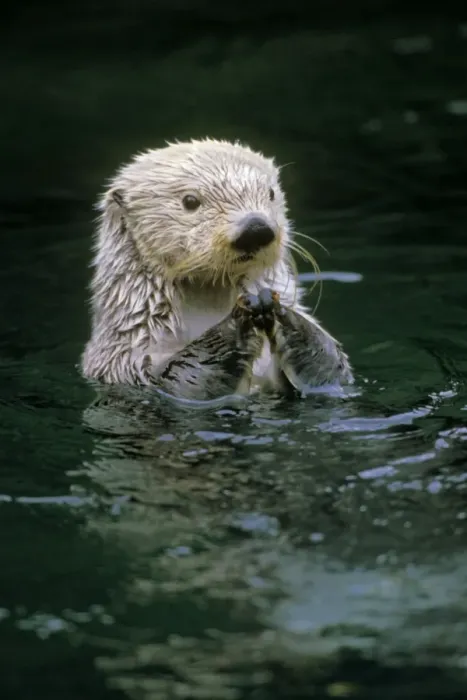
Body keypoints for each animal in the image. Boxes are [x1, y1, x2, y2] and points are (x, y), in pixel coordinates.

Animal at [81, 139, 353, 400]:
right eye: (190, 201)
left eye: (271, 193)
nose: (255, 228)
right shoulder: (127, 357)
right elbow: (179, 379)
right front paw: (237, 325)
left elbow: (333, 367)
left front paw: (282, 313)